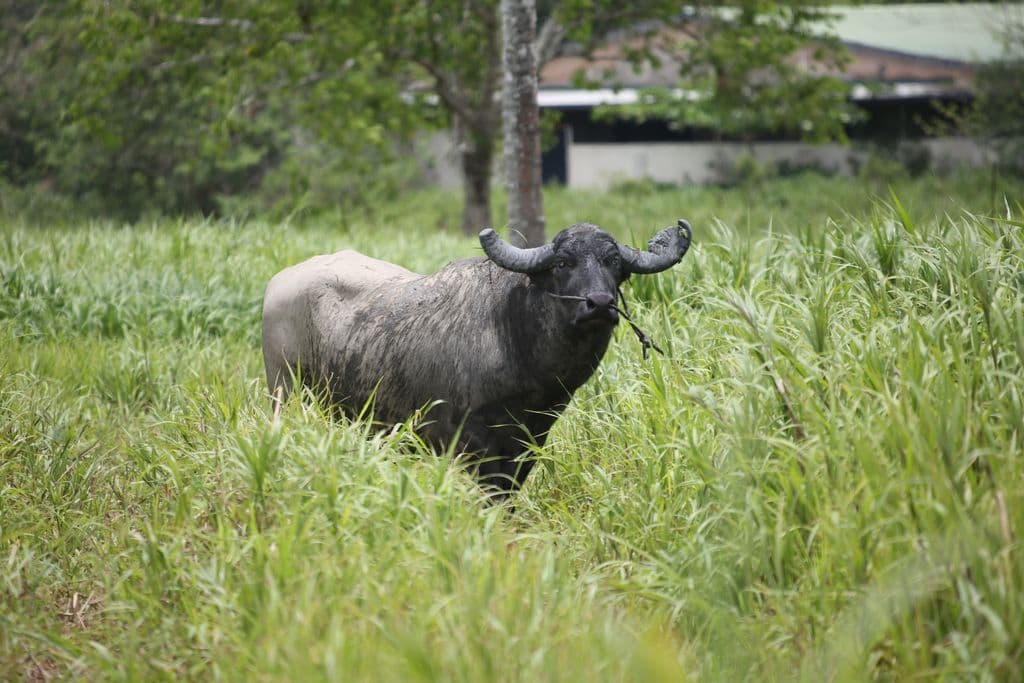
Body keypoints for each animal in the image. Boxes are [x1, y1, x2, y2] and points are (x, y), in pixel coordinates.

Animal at [262, 220, 692, 495]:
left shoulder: (530, 442)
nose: (599, 304)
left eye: (614, 264)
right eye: (562, 263)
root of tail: (278, 283)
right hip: (285, 394)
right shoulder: (472, 445)